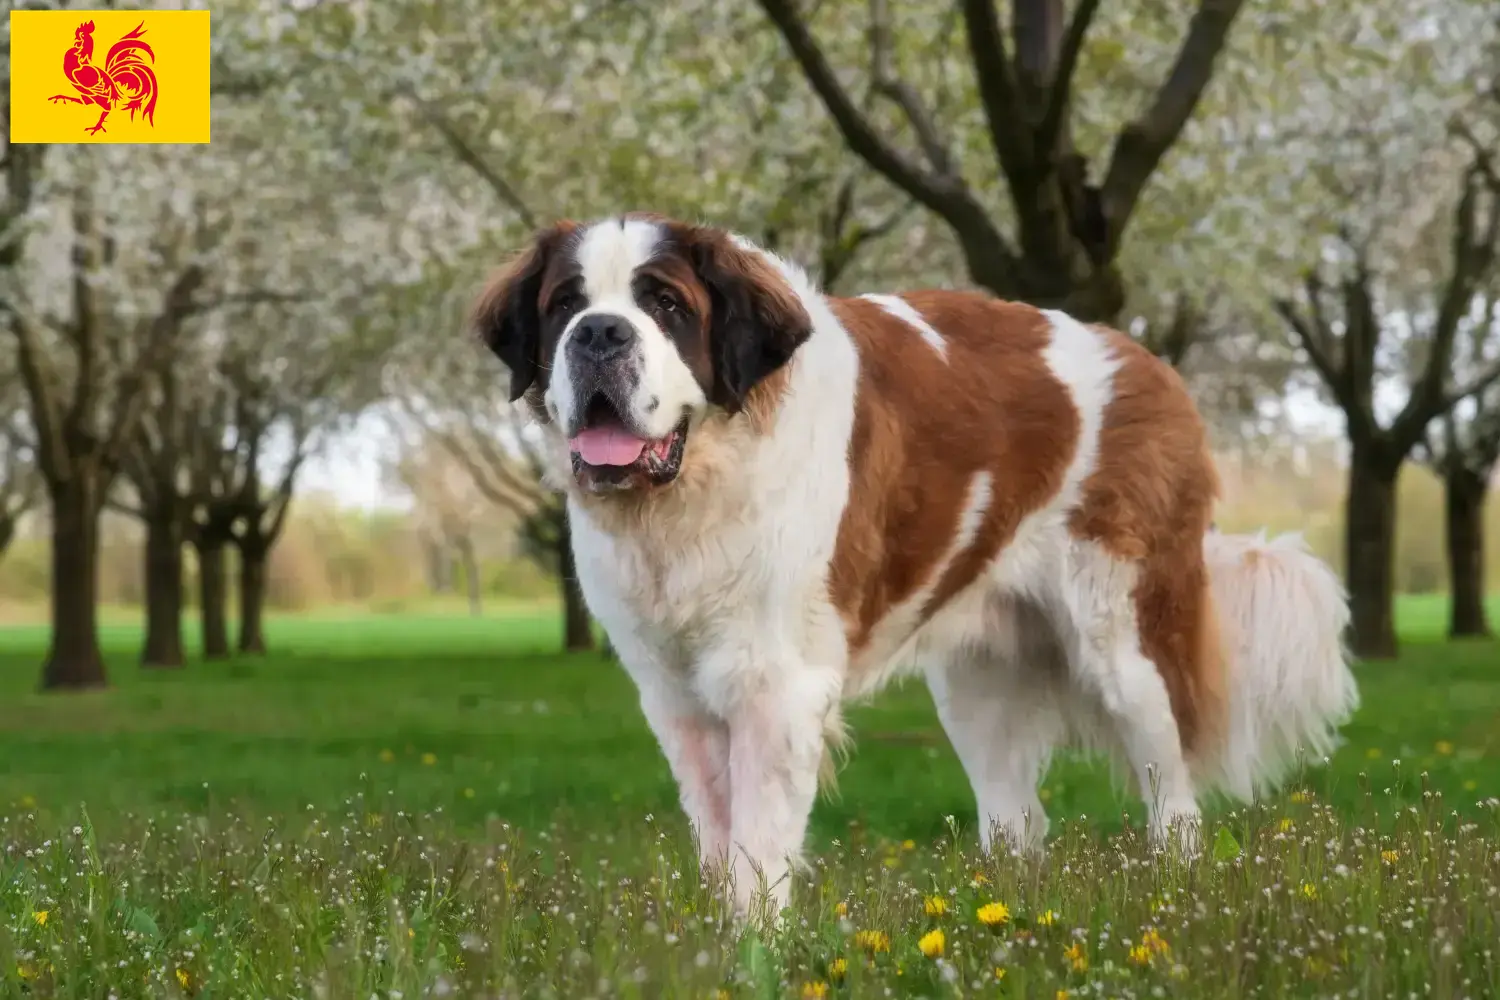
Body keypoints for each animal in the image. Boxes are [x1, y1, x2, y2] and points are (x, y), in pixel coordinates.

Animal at [474, 215, 1368, 917]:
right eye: (565, 304)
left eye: (665, 304)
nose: (600, 333)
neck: (695, 489)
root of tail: (1148, 364)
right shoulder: (676, 698)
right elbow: (719, 840)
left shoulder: (776, 689)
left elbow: (759, 849)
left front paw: (754, 954)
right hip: (978, 687)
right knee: (1017, 818)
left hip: (1128, 648)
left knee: (1173, 798)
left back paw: (1172, 898)